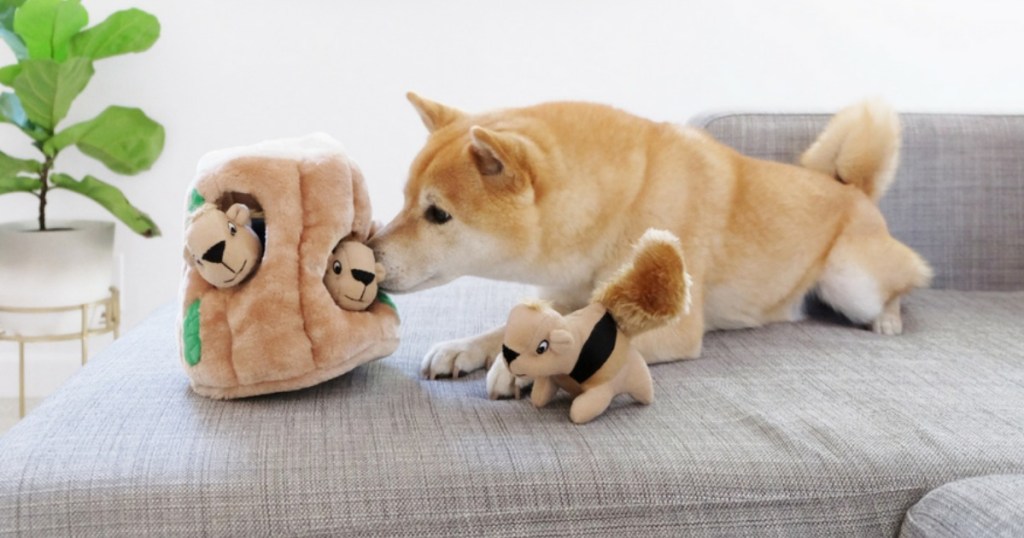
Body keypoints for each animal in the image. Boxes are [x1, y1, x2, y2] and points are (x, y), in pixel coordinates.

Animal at [368, 92, 929, 395]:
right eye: (404, 200)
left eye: (437, 214)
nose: (368, 256)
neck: (619, 205)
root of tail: (853, 188)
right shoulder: (566, 296)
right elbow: (510, 326)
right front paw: (465, 348)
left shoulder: (674, 327)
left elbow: (602, 343)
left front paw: (519, 369)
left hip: (850, 282)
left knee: (902, 285)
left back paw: (888, 319)